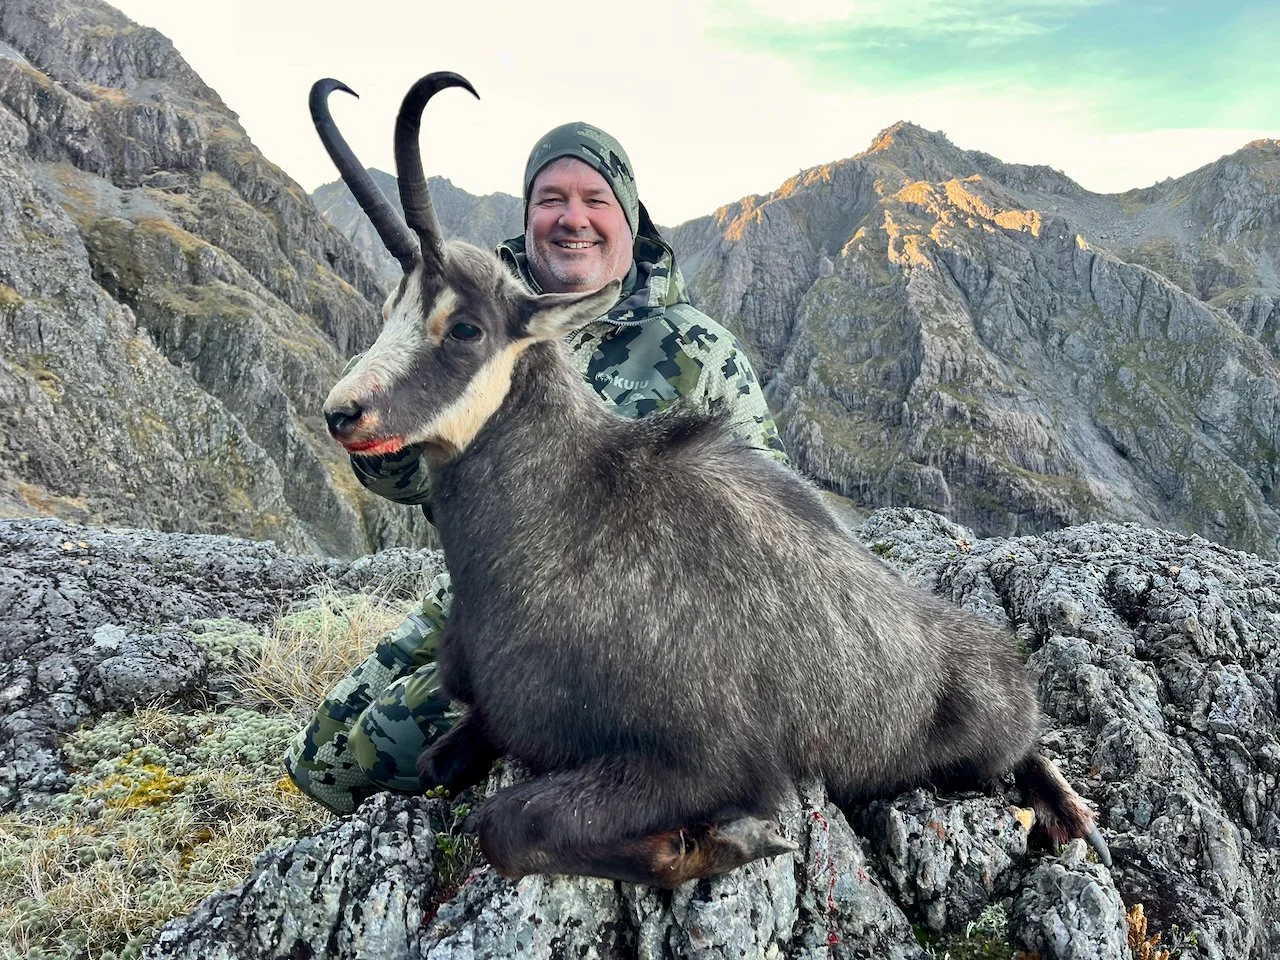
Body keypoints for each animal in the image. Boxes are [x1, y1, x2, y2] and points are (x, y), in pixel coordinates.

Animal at [311, 72, 1111, 888]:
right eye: (391, 308)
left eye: (466, 327)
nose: (342, 412)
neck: (560, 521)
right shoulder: (493, 713)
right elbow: (440, 762)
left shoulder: (705, 755)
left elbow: (507, 825)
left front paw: (722, 841)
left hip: (984, 731)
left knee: (1026, 748)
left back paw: (1068, 813)